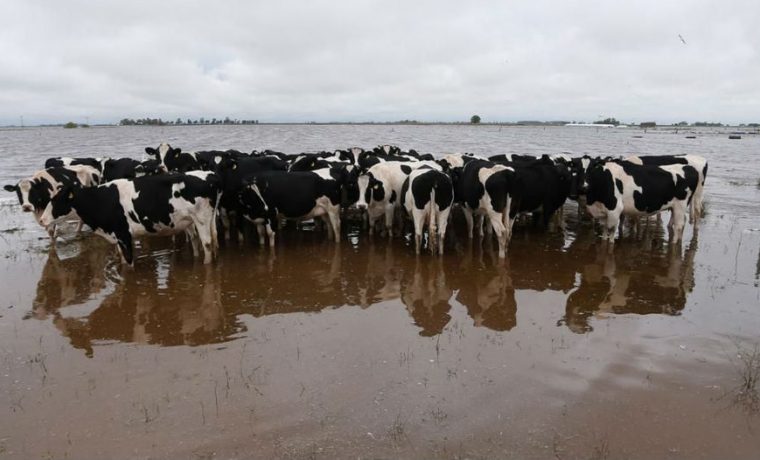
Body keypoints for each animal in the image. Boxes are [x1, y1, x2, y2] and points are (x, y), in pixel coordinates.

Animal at [38, 172, 220, 266]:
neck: (100, 200)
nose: (41, 220)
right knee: (204, 240)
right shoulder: (120, 237)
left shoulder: (123, 234)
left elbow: (128, 262)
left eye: (55, 201)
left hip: (201, 219)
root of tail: (210, 175)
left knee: (207, 244)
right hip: (198, 220)